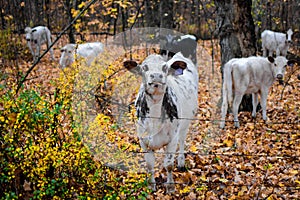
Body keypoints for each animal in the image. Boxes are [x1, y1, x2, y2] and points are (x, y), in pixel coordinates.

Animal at [124, 52, 199, 193]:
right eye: (144, 67)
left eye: (164, 67)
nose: (157, 76)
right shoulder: (143, 140)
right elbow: (149, 164)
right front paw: (151, 185)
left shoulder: (172, 138)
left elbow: (169, 164)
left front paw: (170, 186)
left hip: (185, 124)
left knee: (182, 141)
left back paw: (181, 162)